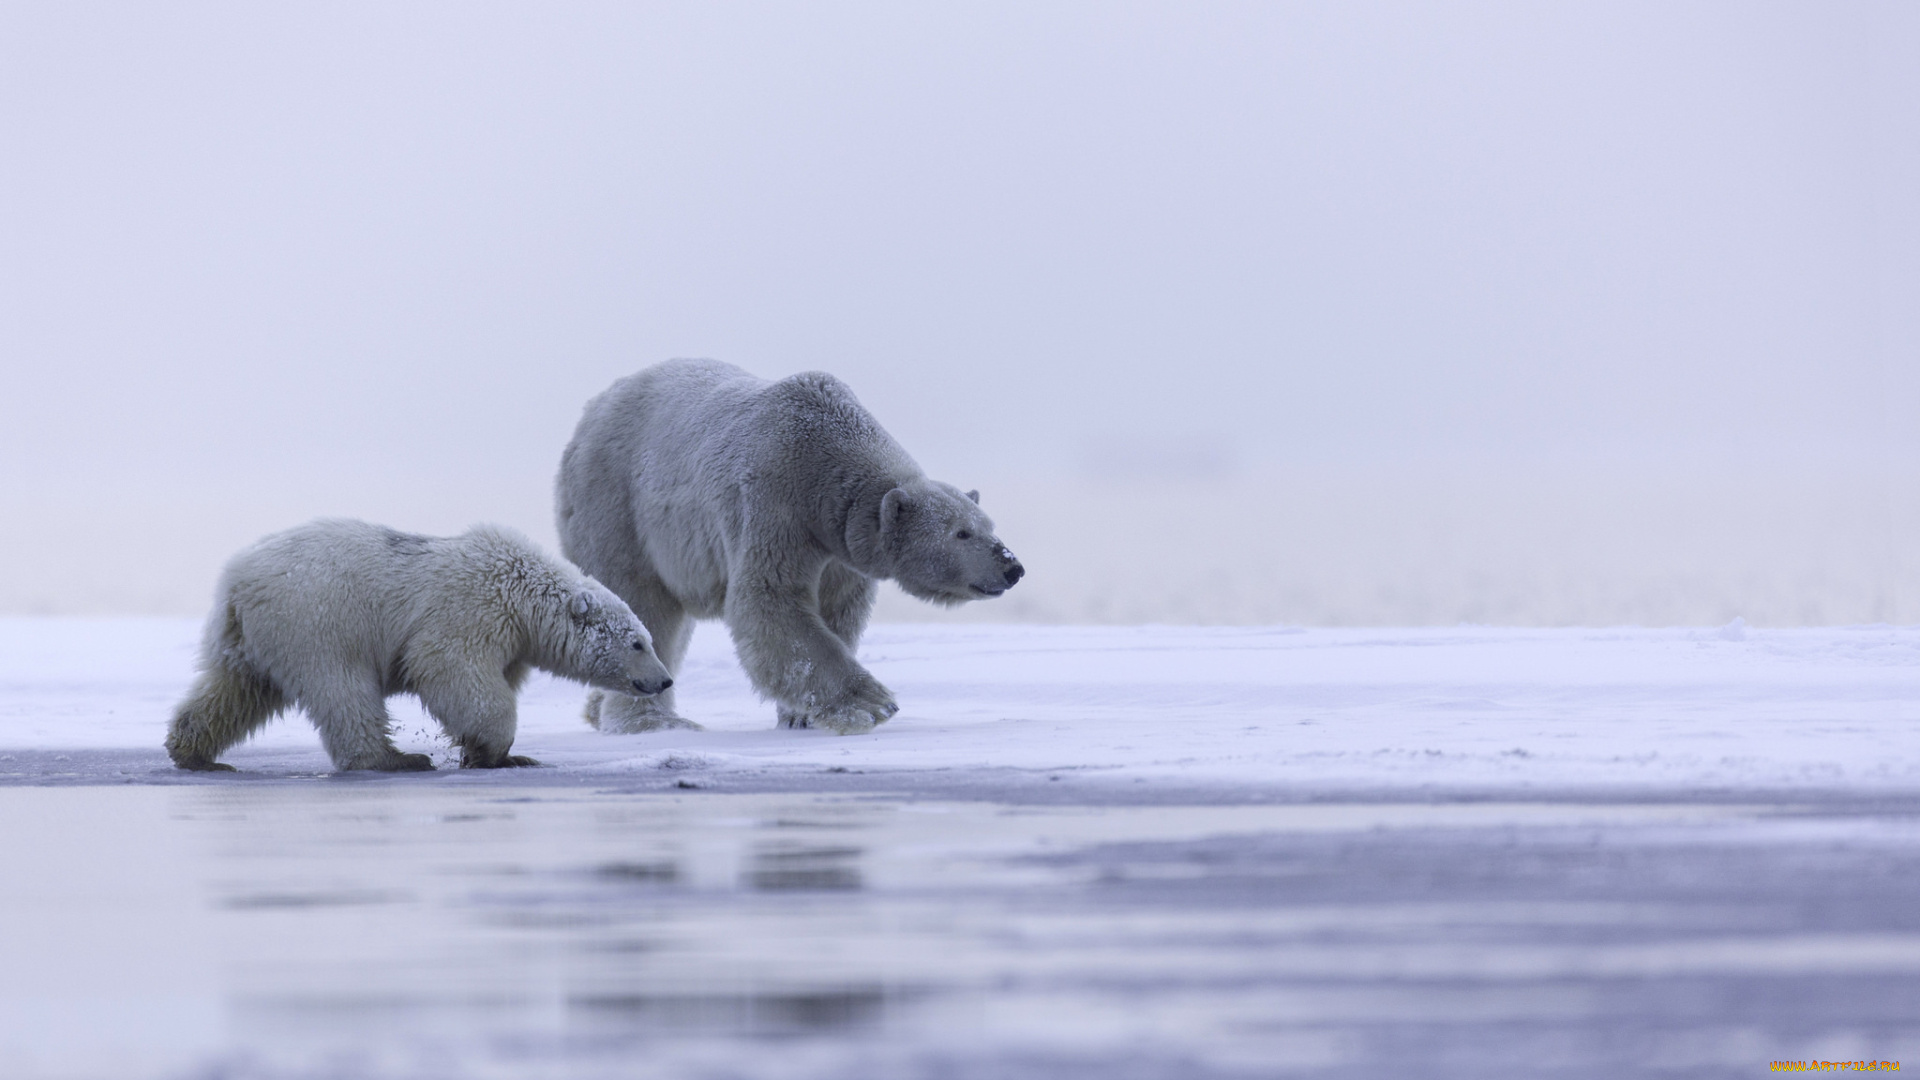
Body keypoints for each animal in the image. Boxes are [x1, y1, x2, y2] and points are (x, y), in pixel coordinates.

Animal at [167, 518, 675, 768]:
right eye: (637, 643)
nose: (666, 680)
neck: (521, 590)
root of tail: (236, 583)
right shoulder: (470, 611)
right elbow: (452, 671)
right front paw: (500, 754)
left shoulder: (512, 640)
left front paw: (491, 752)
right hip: (317, 620)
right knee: (343, 689)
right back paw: (395, 759)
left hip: (251, 639)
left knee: (233, 690)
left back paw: (193, 754)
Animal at [556, 357, 1029, 734]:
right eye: (961, 533)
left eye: (989, 525)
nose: (1013, 567)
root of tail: (590, 412)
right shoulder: (775, 499)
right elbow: (770, 600)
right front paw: (870, 704)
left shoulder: (840, 547)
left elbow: (837, 610)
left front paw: (800, 716)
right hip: (618, 506)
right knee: (640, 600)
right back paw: (652, 720)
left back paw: (598, 712)